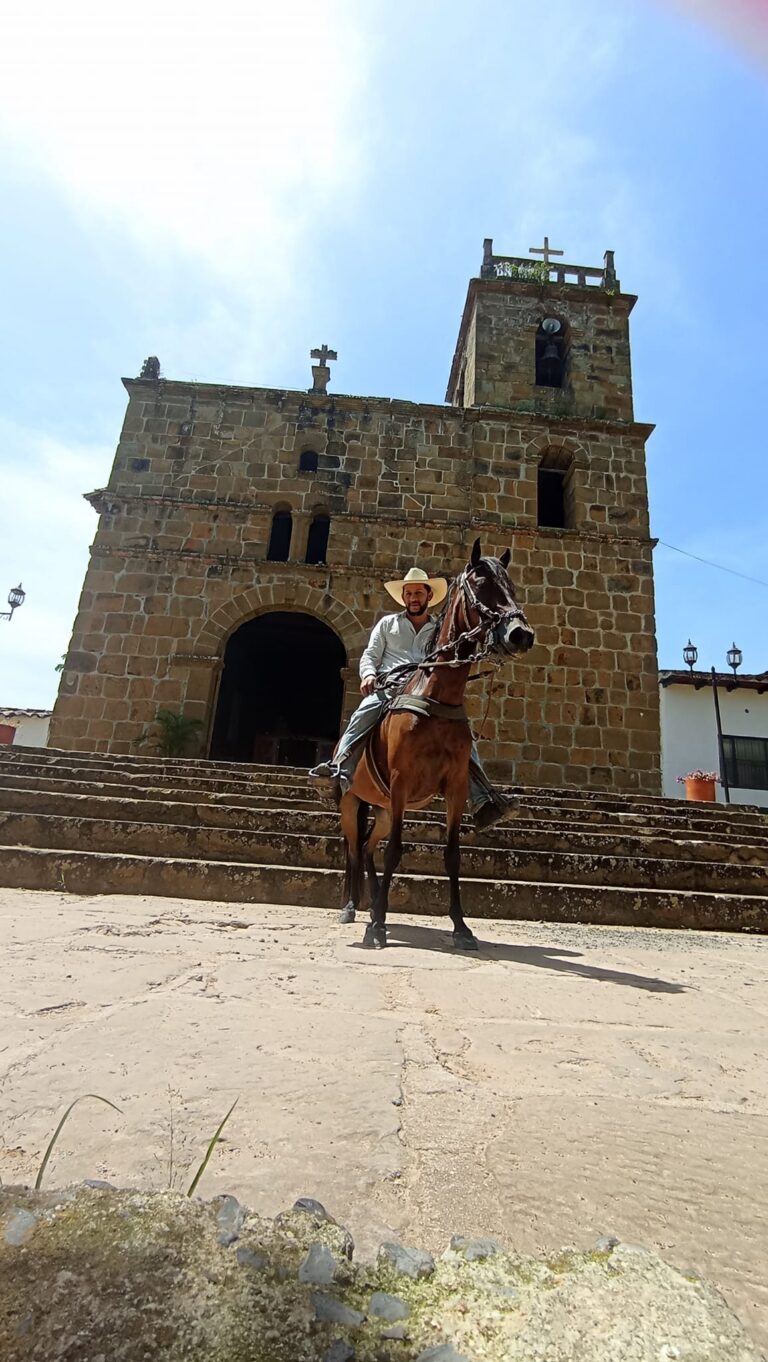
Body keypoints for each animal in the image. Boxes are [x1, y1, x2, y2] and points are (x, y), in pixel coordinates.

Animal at [339, 539, 531, 947]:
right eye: (481, 583)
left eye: (511, 584)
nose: (521, 634)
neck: (436, 694)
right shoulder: (400, 781)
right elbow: (396, 851)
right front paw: (377, 927)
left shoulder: (455, 785)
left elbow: (453, 854)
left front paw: (461, 927)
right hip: (351, 802)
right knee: (352, 847)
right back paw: (352, 909)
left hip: (380, 809)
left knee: (366, 847)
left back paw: (373, 904)